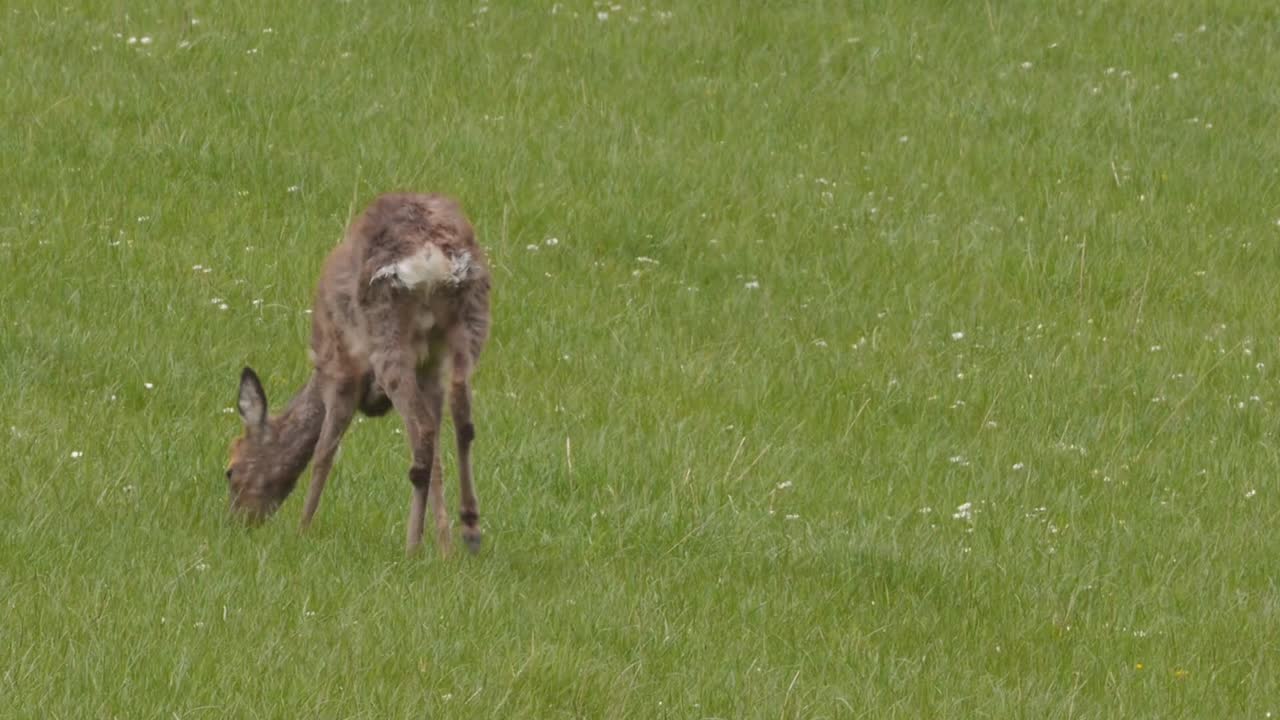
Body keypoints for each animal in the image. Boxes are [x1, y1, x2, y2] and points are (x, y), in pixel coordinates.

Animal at [225, 192, 491, 555]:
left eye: (230, 470)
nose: (238, 522)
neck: (317, 375)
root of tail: (432, 253)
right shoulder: (429, 371)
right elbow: (437, 457)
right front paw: (443, 547)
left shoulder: (341, 370)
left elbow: (324, 452)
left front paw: (302, 532)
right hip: (470, 320)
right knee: (461, 417)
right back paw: (469, 529)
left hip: (386, 329)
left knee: (422, 429)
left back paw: (412, 547)